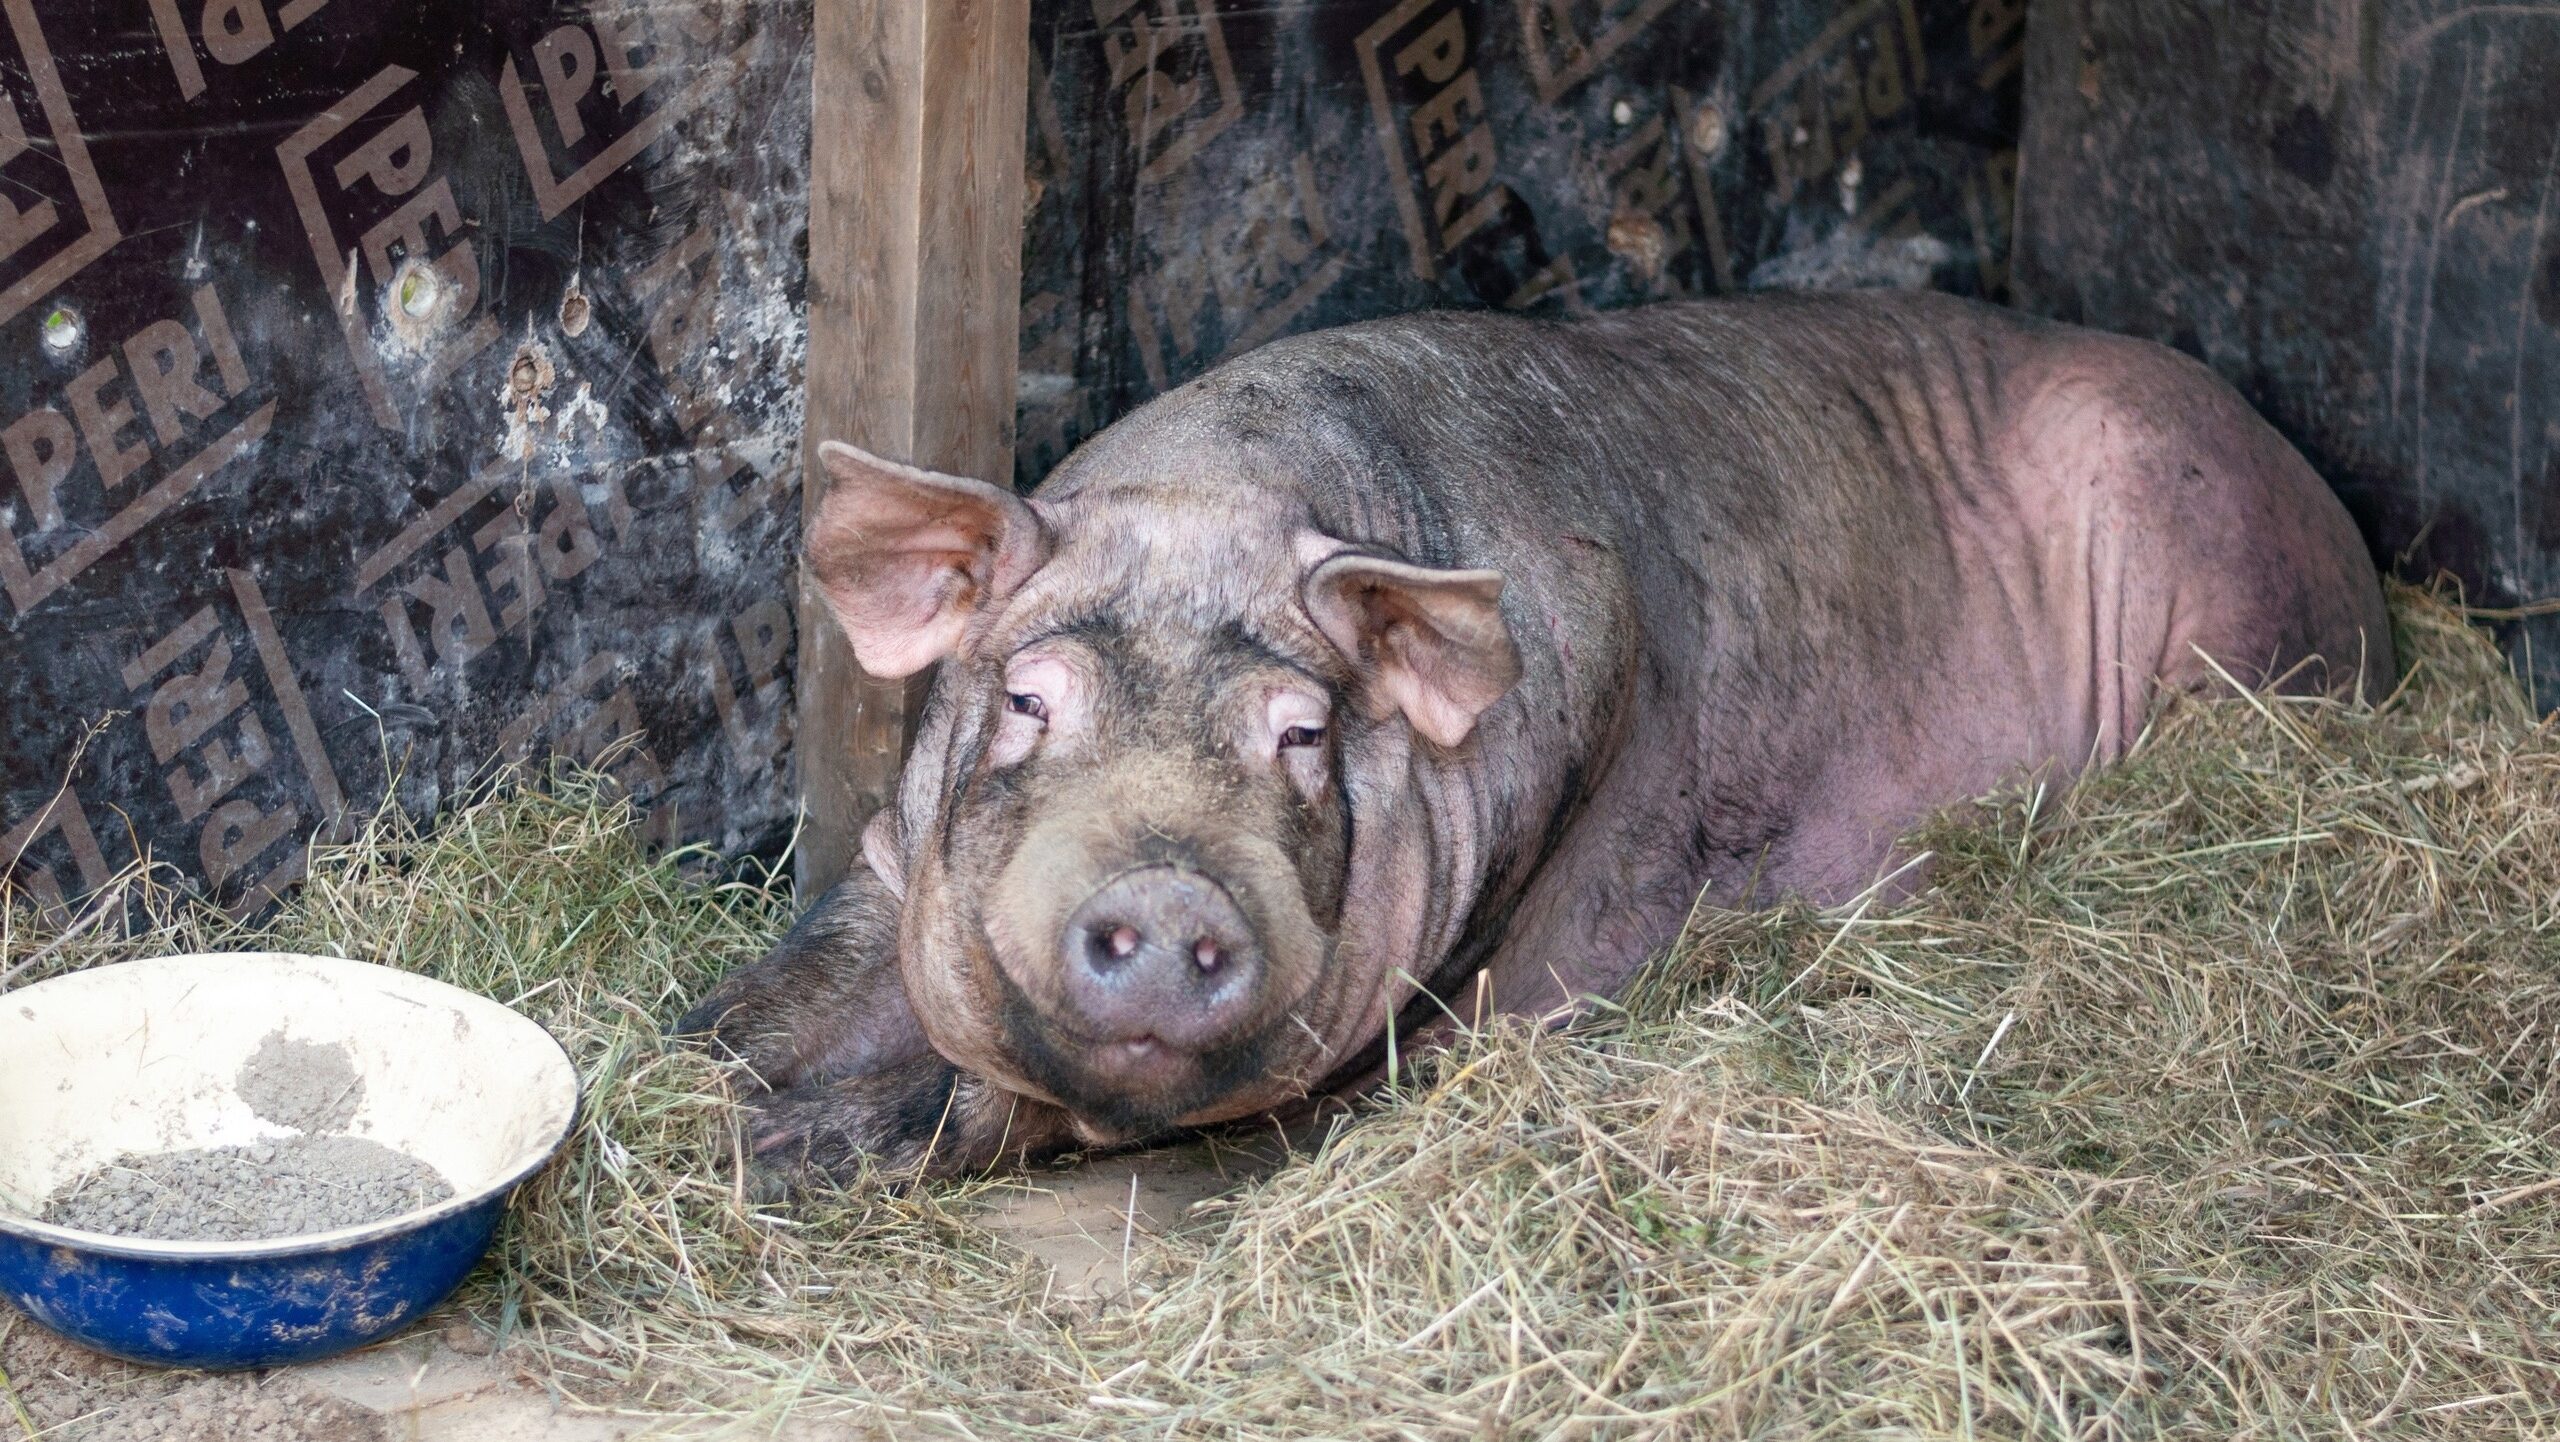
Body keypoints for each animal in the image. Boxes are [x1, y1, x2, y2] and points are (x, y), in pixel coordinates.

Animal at [670, 290, 2385, 1183]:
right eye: (1030, 699)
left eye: (1305, 733)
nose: (1162, 890)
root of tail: (2336, 514)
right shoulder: (887, 858)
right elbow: (780, 993)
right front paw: (691, 1076)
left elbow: (981, 1107)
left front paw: (788, 1144)